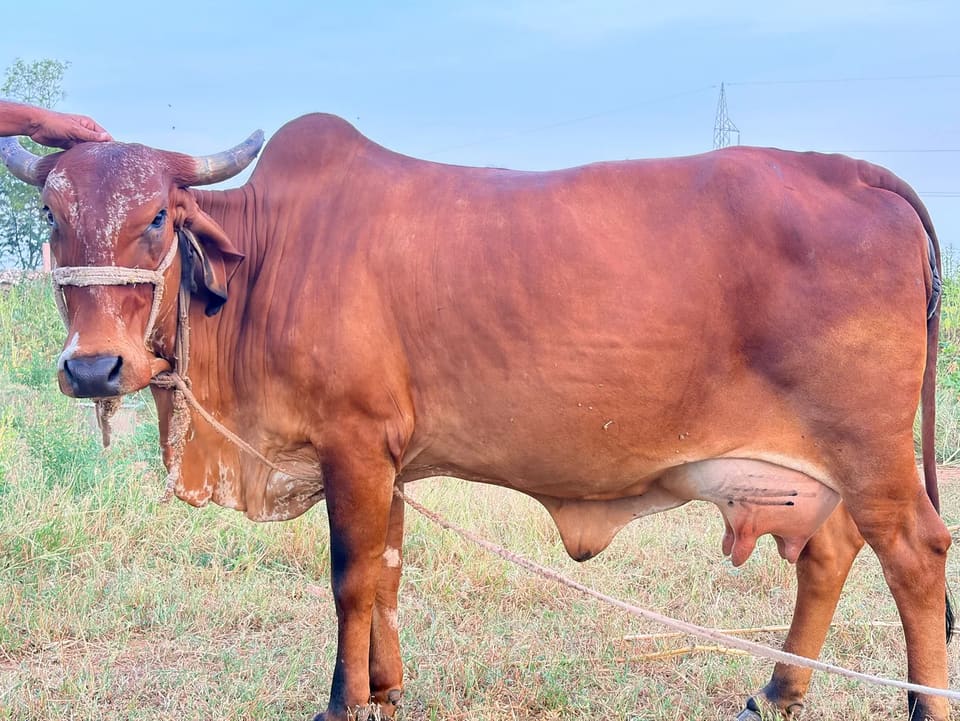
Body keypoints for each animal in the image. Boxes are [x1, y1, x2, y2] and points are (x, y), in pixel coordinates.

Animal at [0, 112, 951, 721]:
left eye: (158, 217)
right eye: (52, 213)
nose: (92, 367)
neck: (269, 257)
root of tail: (856, 170)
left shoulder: (352, 446)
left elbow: (351, 578)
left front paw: (343, 702)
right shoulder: (385, 458)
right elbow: (386, 571)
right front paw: (385, 690)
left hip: (869, 453)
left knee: (915, 556)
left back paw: (924, 704)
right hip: (822, 466)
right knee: (829, 552)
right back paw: (778, 692)